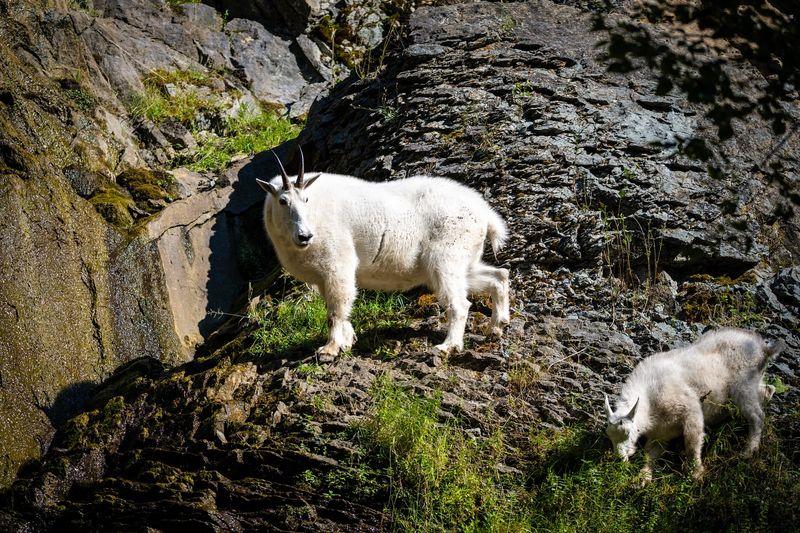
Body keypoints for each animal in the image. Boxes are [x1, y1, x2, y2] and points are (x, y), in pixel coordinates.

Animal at [256, 150, 510, 356]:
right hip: (464, 260)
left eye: (306, 199)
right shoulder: (322, 278)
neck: (316, 213)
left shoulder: (338, 264)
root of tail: (486, 215)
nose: (305, 236)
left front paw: (330, 348)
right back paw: (498, 326)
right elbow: (339, 306)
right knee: (498, 275)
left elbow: (336, 308)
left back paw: (449, 346)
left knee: (459, 302)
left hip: (447, 257)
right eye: (282, 201)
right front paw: (348, 341)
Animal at [608, 326, 780, 480]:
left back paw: (748, 451)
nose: (619, 459)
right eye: (611, 438)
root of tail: (764, 347)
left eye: (628, 432)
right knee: (768, 390)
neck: (650, 398)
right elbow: (651, 454)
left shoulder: (690, 409)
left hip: (744, 385)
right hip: (753, 383)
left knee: (757, 416)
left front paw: (696, 473)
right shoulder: (661, 434)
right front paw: (643, 478)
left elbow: (692, 442)